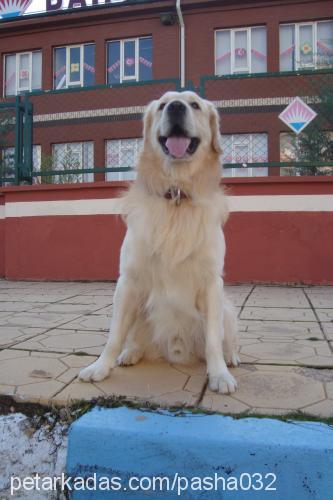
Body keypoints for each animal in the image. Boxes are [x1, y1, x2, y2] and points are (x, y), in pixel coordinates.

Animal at [79, 91, 237, 394]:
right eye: (163, 105)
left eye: (195, 104)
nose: (175, 107)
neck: (176, 195)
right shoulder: (128, 281)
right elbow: (114, 334)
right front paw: (100, 367)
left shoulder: (212, 283)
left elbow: (213, 339)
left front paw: (219, 374)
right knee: (133, 338)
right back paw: (130, 353)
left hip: (227, 309)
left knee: (225, 337)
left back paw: (231, 357)